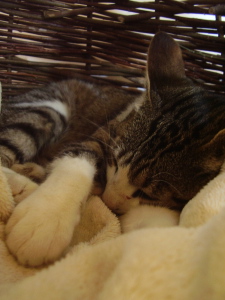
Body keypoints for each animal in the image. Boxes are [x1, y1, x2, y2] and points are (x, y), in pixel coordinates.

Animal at [1, 31, 225, 266]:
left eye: (146, 193)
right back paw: (22, 185)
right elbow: (77, 159)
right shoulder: (103, 134)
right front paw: (45, 217)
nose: (107, 200)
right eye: (115, 163)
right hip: (47, 110)